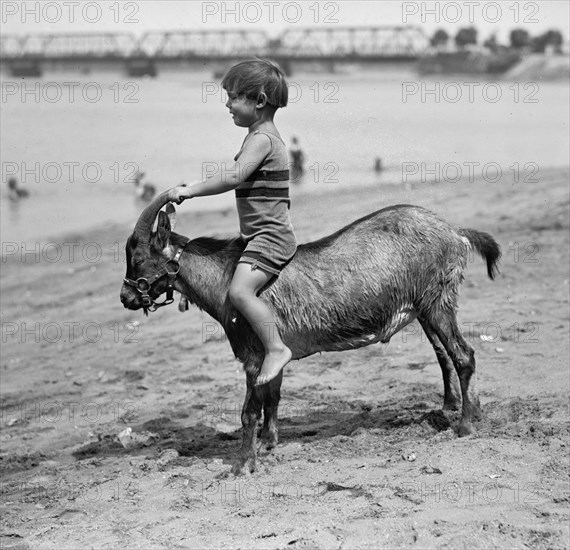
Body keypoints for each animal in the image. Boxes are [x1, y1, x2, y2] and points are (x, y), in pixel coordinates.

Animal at [118, 192, 496, 476]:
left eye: (138, 258)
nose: (125, 298)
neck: (225, 279)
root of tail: (456, 232)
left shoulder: (254, 355)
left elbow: (249, 411)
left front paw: (243, 466)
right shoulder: (273, 355)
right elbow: (272, 397)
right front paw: (269, 443)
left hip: (437, 300)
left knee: (463, 355)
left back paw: (466, 426)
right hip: (426, 307)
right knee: (444, 354)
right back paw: (463, 409)